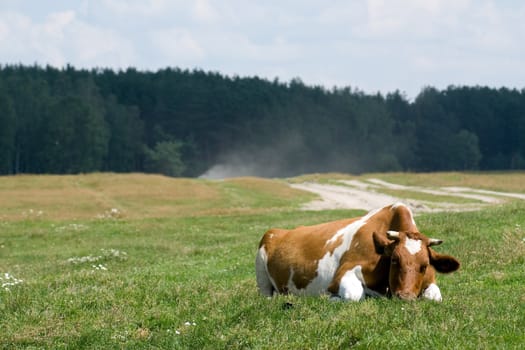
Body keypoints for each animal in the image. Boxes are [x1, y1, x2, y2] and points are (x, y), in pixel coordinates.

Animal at [255, 202, 458, 300]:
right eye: (394, 260)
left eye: (424, 266)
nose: (406, 297)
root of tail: (279, 231)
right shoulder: (343, 273)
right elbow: (353, 295)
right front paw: (330, 298)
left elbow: (435, 297)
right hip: (261, 270)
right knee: (266, 296)